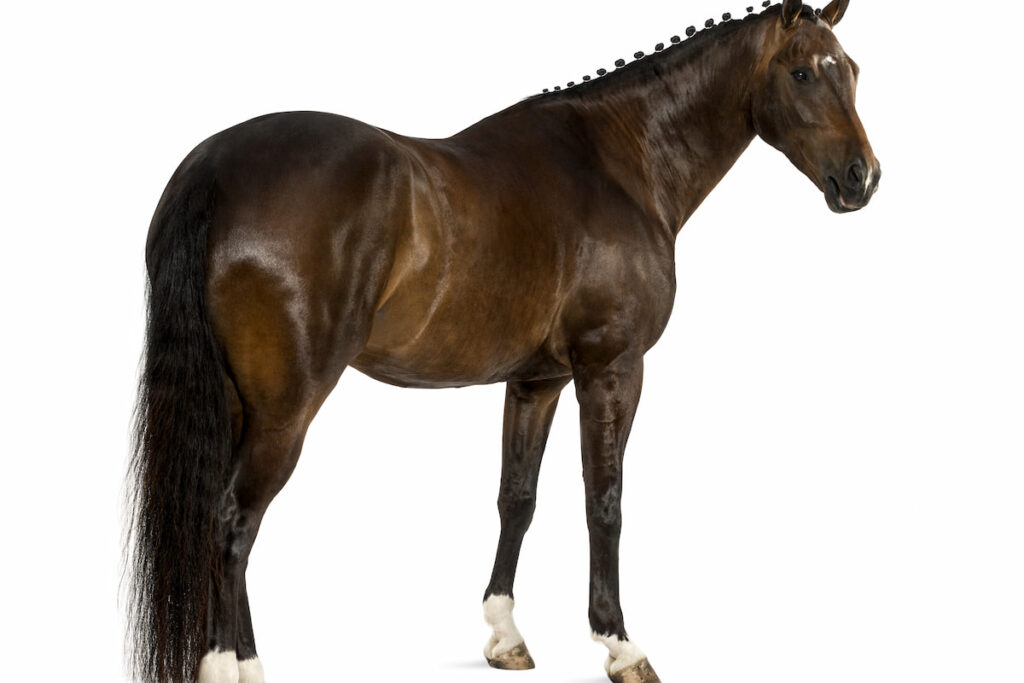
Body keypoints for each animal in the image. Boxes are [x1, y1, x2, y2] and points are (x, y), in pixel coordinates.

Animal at [128, 1, 880, 683]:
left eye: (853, 70)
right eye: (803, 72)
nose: (862, 178)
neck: (622, 160)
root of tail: (214, 166)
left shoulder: (536, 380)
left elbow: (517, 497)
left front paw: (505, 635)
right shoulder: (612, 368)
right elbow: (604, 499)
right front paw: (620, 645)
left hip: (238, 401)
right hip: (286, 408)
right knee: (234, 520)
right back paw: (233, 664)